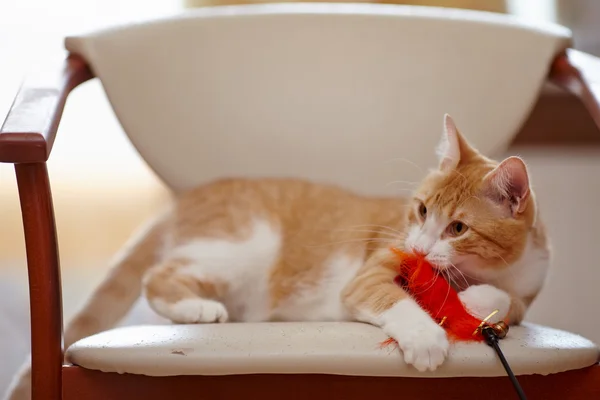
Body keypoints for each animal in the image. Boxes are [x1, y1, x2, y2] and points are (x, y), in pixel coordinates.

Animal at [4, 114, 552, 398]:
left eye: (457, 227)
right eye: (420, 210)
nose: (417, 247)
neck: (487, 267)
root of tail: (185, 199)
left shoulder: (526, 289)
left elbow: (506, 302)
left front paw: (473, 300)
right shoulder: (369, 274)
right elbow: (398, 300)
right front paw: (426, 336)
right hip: (242, 247)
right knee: (158, 275)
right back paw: (198, 309)